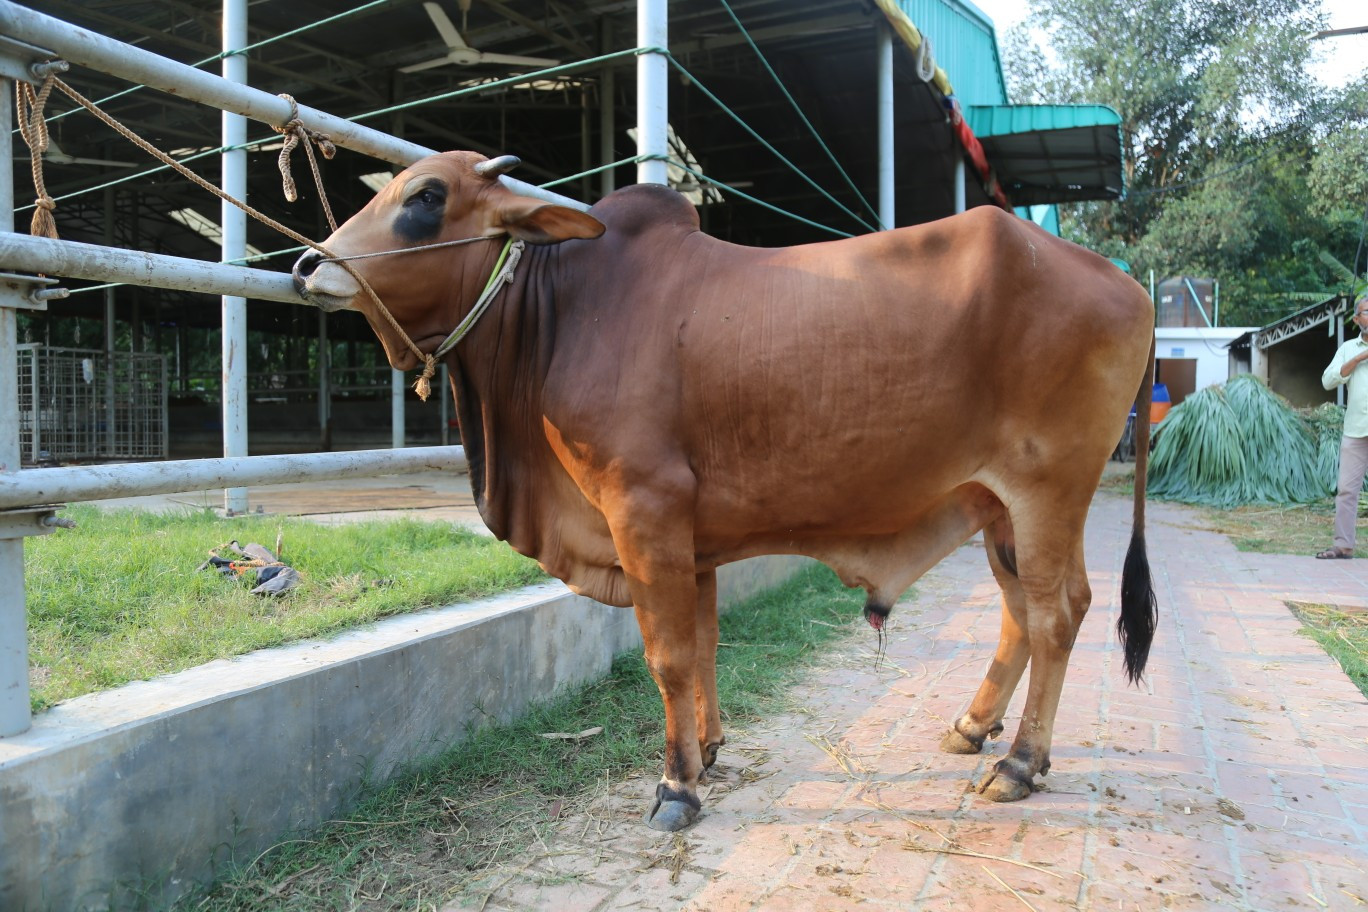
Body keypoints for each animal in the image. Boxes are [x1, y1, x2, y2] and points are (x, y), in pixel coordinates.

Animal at [292, 151, 1158, 833]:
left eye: (426, 196)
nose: (308, 265)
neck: (562, 312)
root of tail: (1127, 284)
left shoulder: (644, 509)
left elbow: (669, 655)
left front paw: (676, 785)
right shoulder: (693, 538)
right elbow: (705, 643)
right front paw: (706, 751)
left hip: (1047, 491)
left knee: (1058, 613)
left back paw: (1020, 764)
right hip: (996, 507)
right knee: (1018, 615)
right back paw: (973, 728)